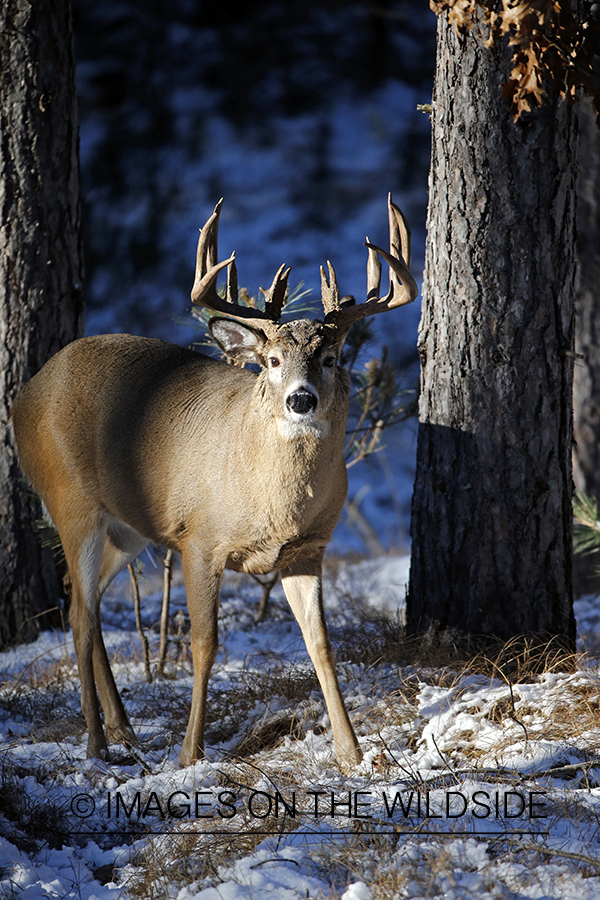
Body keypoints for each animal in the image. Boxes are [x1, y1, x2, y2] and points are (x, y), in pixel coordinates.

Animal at [11, 195, 420, 768]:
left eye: (331, 357)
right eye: (272, 360)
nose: (301, 399)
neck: (271, 501)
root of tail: (23, 397)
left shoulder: (308, 547)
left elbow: (320, 643)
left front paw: (350, 751)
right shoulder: (199, 538)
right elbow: (205, 644)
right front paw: (190, 753)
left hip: (126, 528)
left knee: (82, 600)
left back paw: (123, 728)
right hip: (71, 502)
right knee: (78, 615)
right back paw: (96, 744)